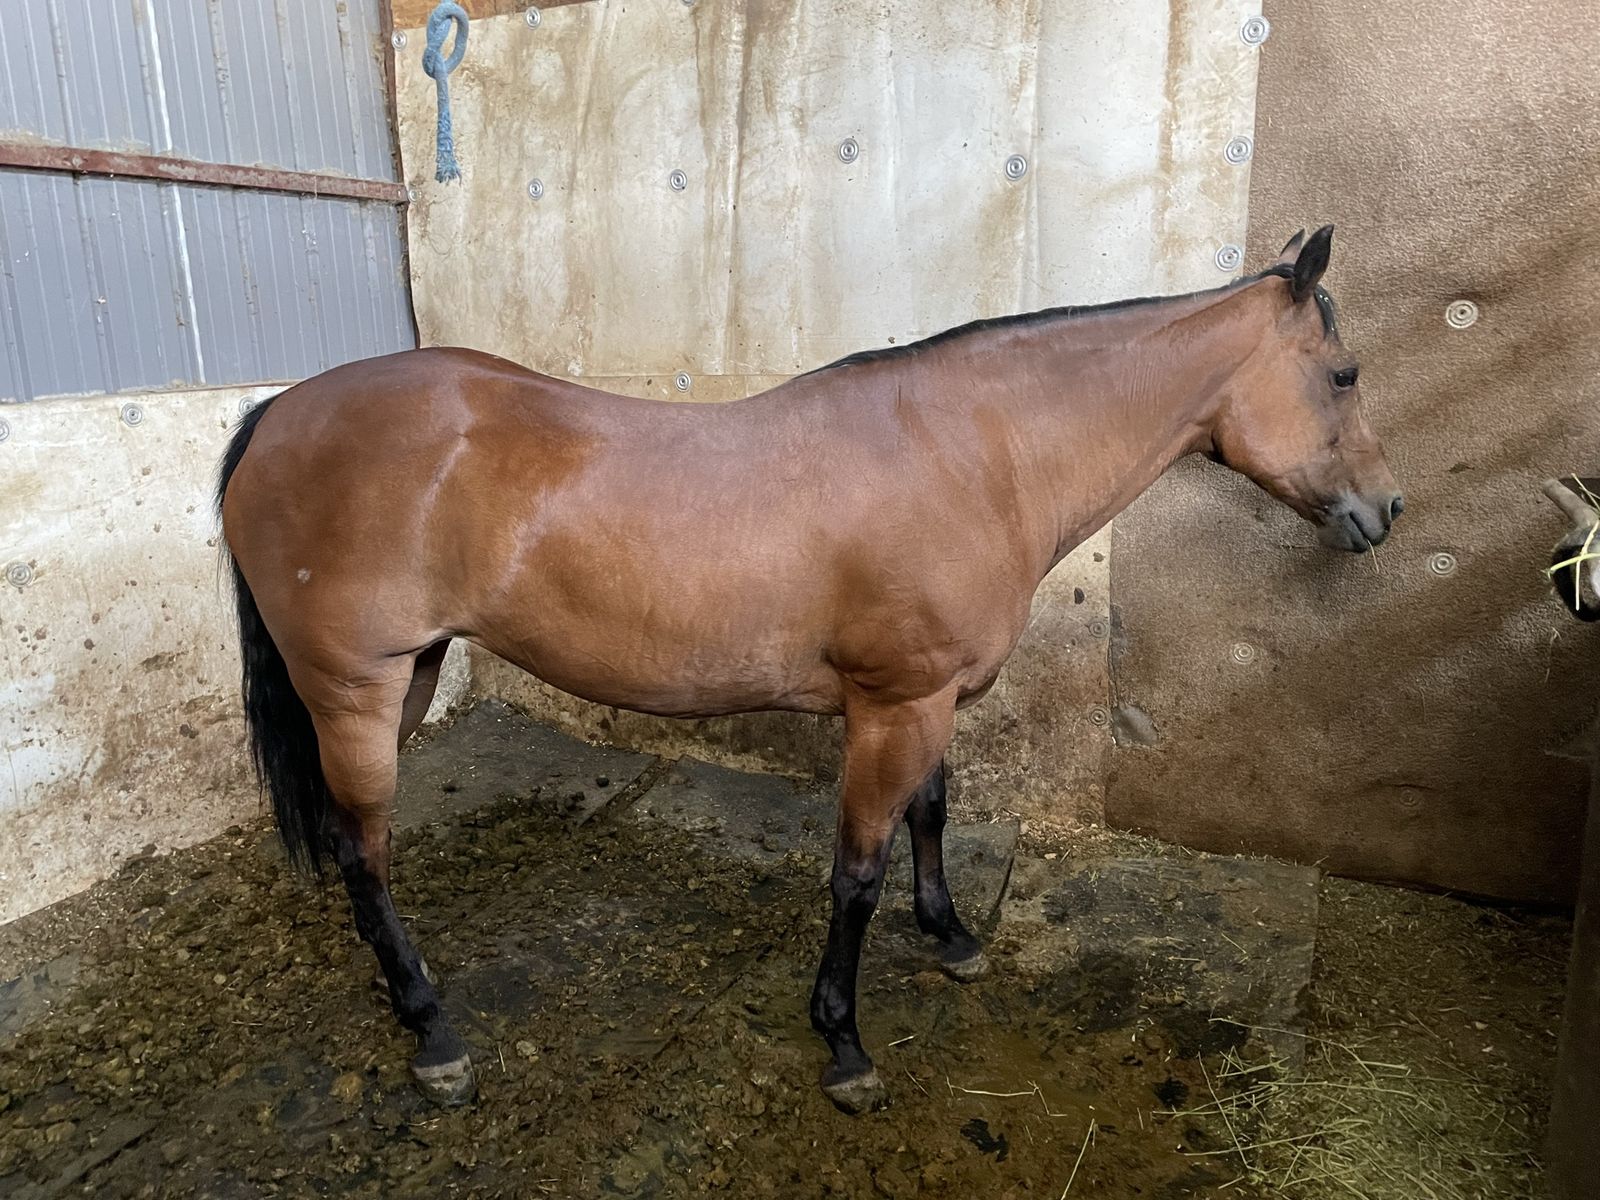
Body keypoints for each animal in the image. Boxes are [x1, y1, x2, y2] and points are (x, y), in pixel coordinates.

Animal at [217, 226, 1402, 1113]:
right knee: (364, 851)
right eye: (1343, 375)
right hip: (359, 691)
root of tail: (280, 411)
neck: (975, 454)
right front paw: (843, 1043)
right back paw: (431, 1032)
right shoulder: (891, 707)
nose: (1386, 511)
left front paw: (952, 937)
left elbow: (930, 812)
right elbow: (856, 872)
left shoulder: (928, 701)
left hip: (412, 674)